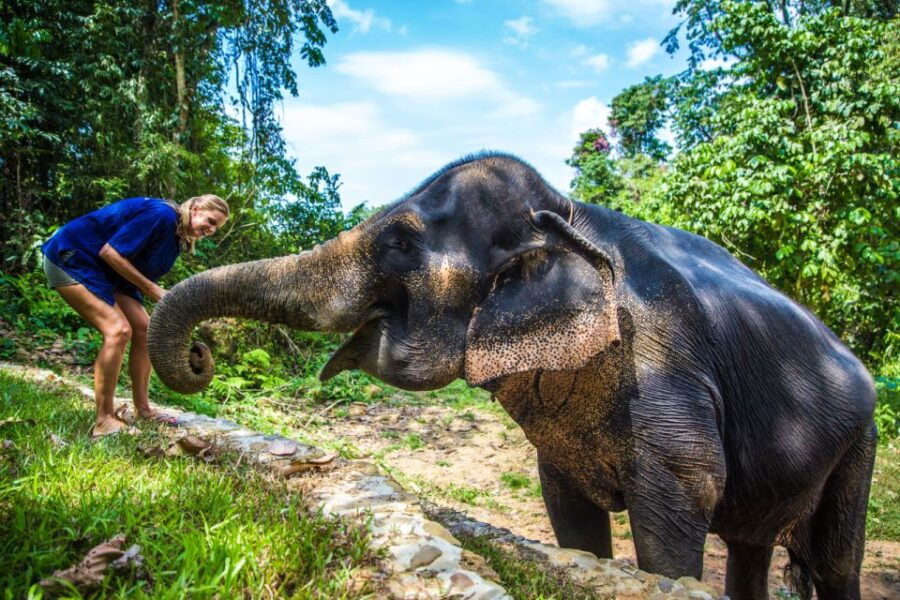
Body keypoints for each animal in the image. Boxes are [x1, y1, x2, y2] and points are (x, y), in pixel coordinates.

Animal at [148, 153, 876, 600]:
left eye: (399, 243)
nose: (201, 356)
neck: (571, 213)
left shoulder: (668, 366)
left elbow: (680, 503)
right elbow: (570, 515)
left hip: (860, 442)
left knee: (835, 560)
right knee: (752, 550)